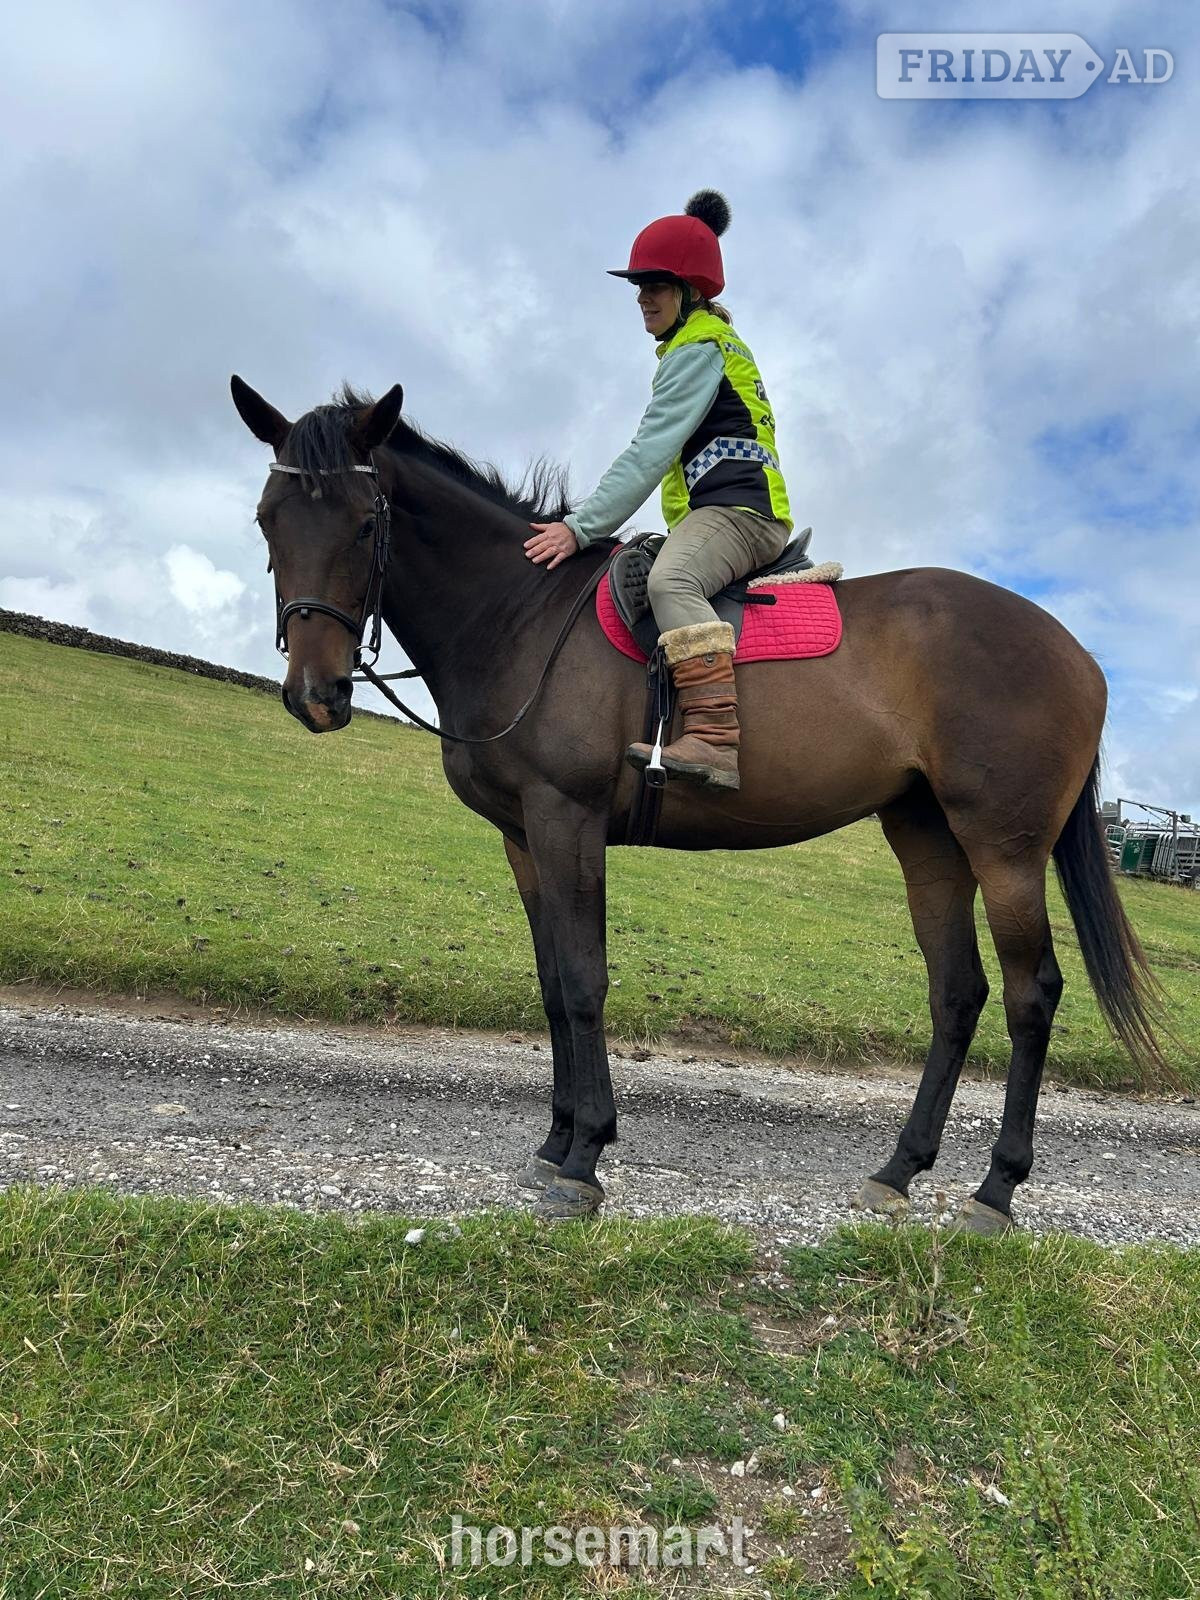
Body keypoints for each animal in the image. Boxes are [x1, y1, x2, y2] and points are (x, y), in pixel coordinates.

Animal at [230, 376, 1166, 1230]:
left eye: (365, 521)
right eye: (269, 519)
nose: (316, 694)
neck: (520, 614)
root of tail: (1077, 653)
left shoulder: (566, 821)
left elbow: (583, 981)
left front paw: (585, 1155)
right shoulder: (523, 839)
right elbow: (550, 984)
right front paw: (554, 1143)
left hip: (1003, 847)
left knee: (1030, 995)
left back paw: (995, 1189)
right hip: (927, 836)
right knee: (958, 993)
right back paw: (900, 1169)